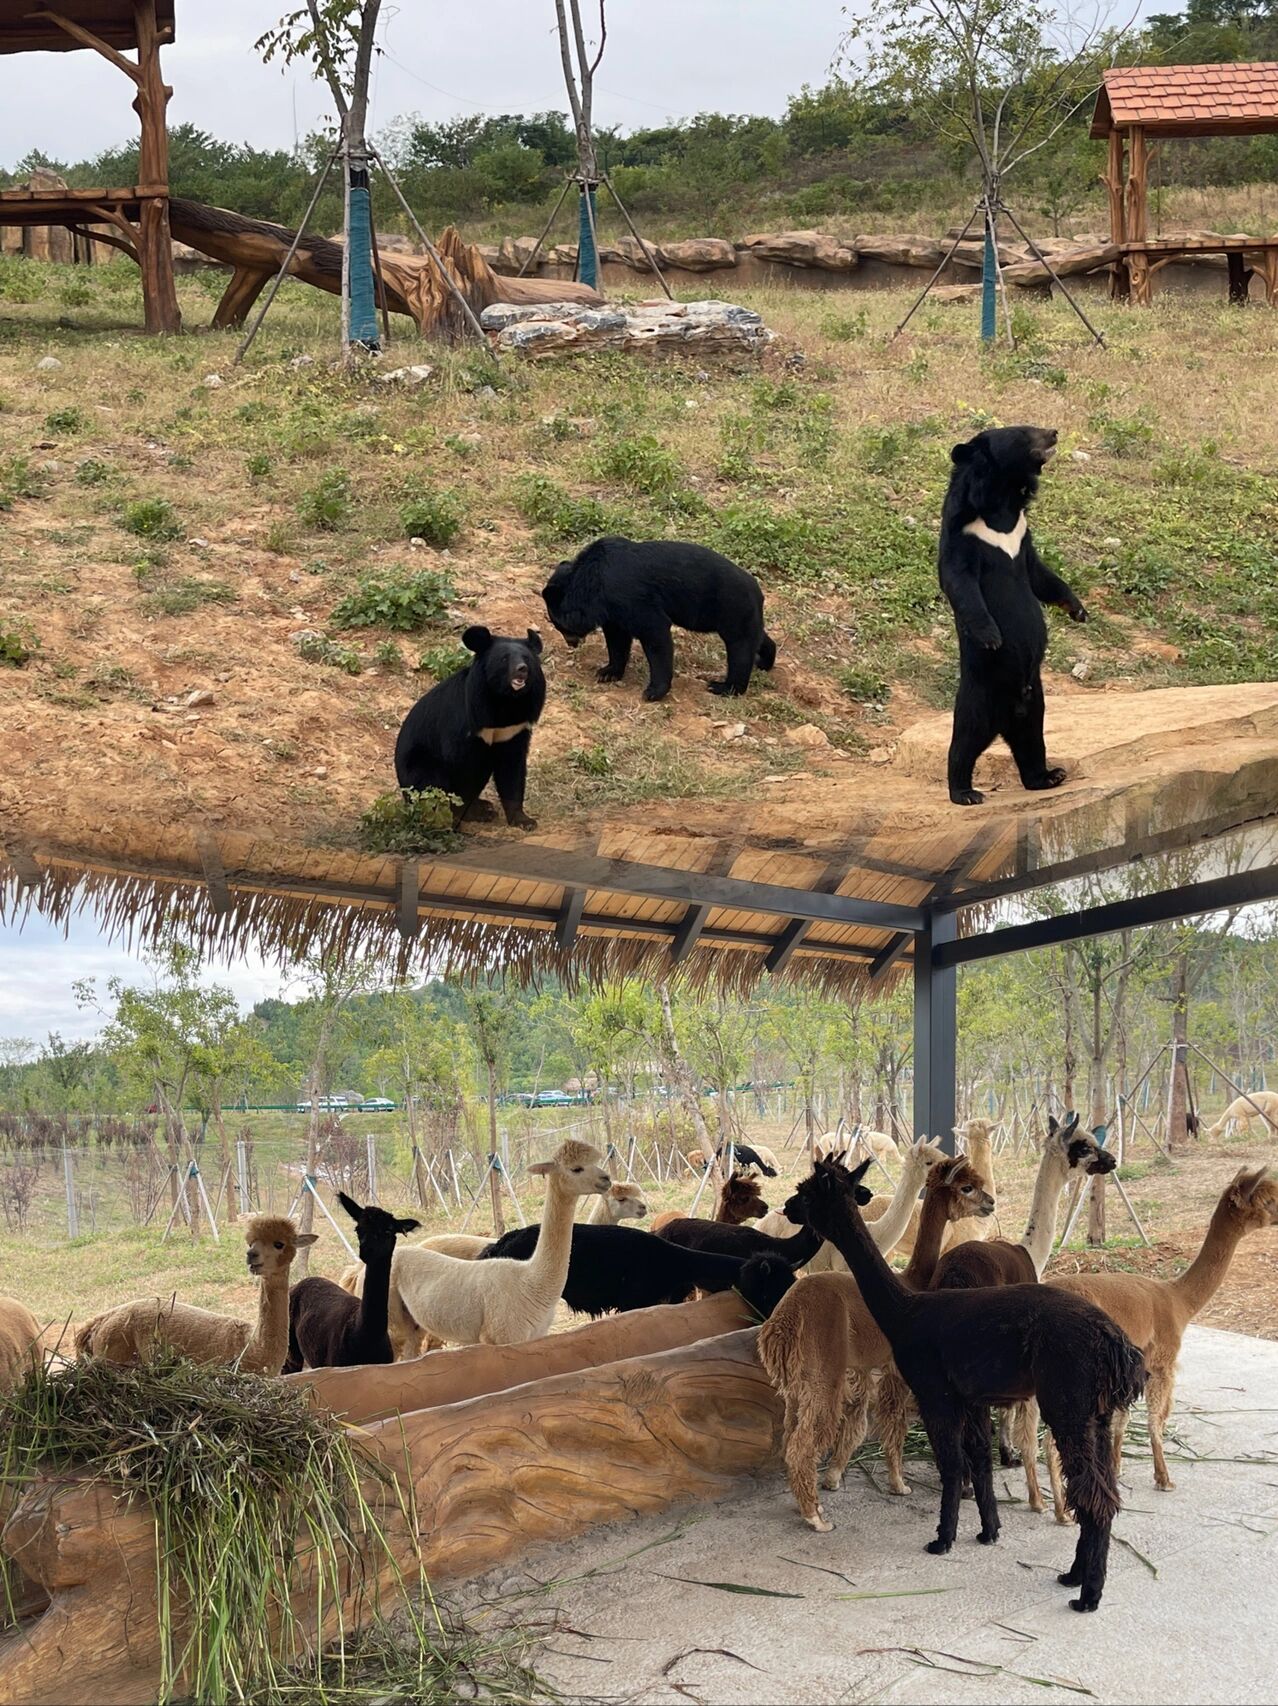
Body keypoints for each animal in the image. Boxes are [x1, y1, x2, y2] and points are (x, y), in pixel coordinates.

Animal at [394, 634, 542, 832]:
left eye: (526, 658)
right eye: (504, 659)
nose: (522, 669)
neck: (504, 701)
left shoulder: (514, 729)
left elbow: (512, 768)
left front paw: (525, 821)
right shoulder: (463, 723)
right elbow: (461, 767)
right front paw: (465, 814)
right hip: (418, 767)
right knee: (430, 782)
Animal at [539, 532, 778, 699]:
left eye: (560, 625)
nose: (571, 643)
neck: (591, 582)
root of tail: (758, 592)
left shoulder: (631, 598)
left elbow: (655, 635)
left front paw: (653, 692)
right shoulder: (615, 611)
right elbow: (617, 640)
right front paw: (607, 672)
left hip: (733, 609)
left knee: (740, 649)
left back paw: (723, 687)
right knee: (757, 639)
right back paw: (763, 662)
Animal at [935, 423, 1085, 801]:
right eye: (1024, 433)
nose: (1054, 432)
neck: (1001, 502)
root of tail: (1008, 714)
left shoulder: (1021, 535)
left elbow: (1041, 575)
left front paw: (1078, 610)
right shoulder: (966, 536)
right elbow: (960, 582)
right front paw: (991, 636)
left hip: (1036, 704)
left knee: (1032, 741)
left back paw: (1048, 776)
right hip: (979, 696)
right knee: (965, 741)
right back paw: (964, 792)